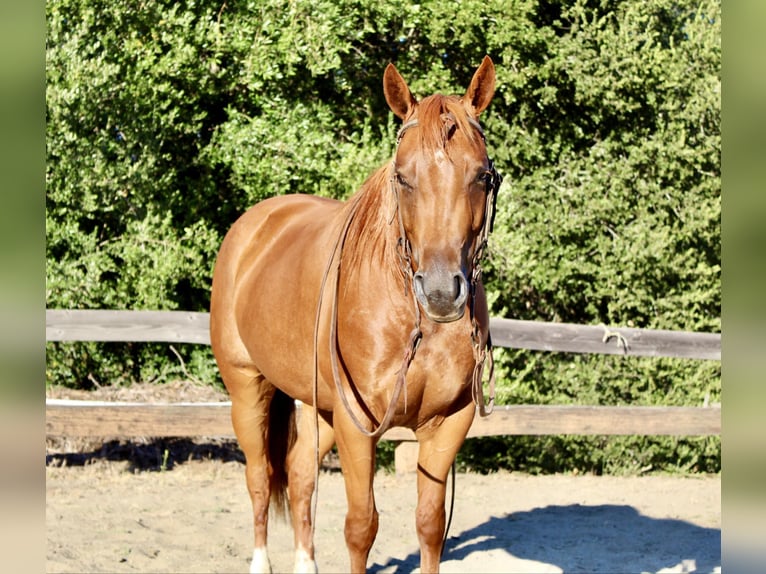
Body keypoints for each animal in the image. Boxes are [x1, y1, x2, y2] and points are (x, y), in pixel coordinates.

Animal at [208, 56, 504, 572]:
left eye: (481, 177)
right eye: (402, 176)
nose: (442, 292)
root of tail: (254, 225)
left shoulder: (449, 423)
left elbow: (430, 525)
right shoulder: (356, 425)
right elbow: (361, 526)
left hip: (317, 404)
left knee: (300, 474)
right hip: (248, 390)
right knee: (261, 478)